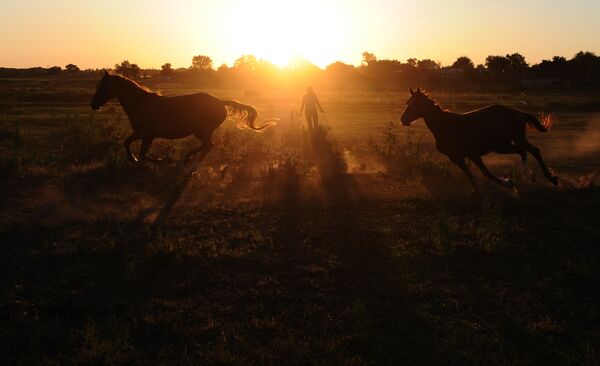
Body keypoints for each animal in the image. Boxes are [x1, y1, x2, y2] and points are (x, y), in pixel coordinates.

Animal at [89, 71, 274, 162]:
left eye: (102, 87)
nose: (93, 104)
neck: (140, 104)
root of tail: (220, 102)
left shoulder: (146, 134)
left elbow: (137, 150)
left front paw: (161, 160)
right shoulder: (145, 135)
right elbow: (133, 147)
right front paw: (142, 159)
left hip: (202, 131)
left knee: (209, 145)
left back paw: (191, 159)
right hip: (201, 132)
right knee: (208, 145)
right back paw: (190, 157)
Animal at [398, 88, 556, 192]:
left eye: (415, 104)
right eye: (407, 102)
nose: (403, 120)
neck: (446, 126)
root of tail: (518, 112)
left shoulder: (472, 154)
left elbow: (485, 172)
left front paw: (508, 183)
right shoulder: (456, 158)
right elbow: (469, 175)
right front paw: (477, 192)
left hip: (517, 138)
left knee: (534, 150)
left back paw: (550, 178)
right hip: (502, 146)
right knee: (523, 152)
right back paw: (531, 176)